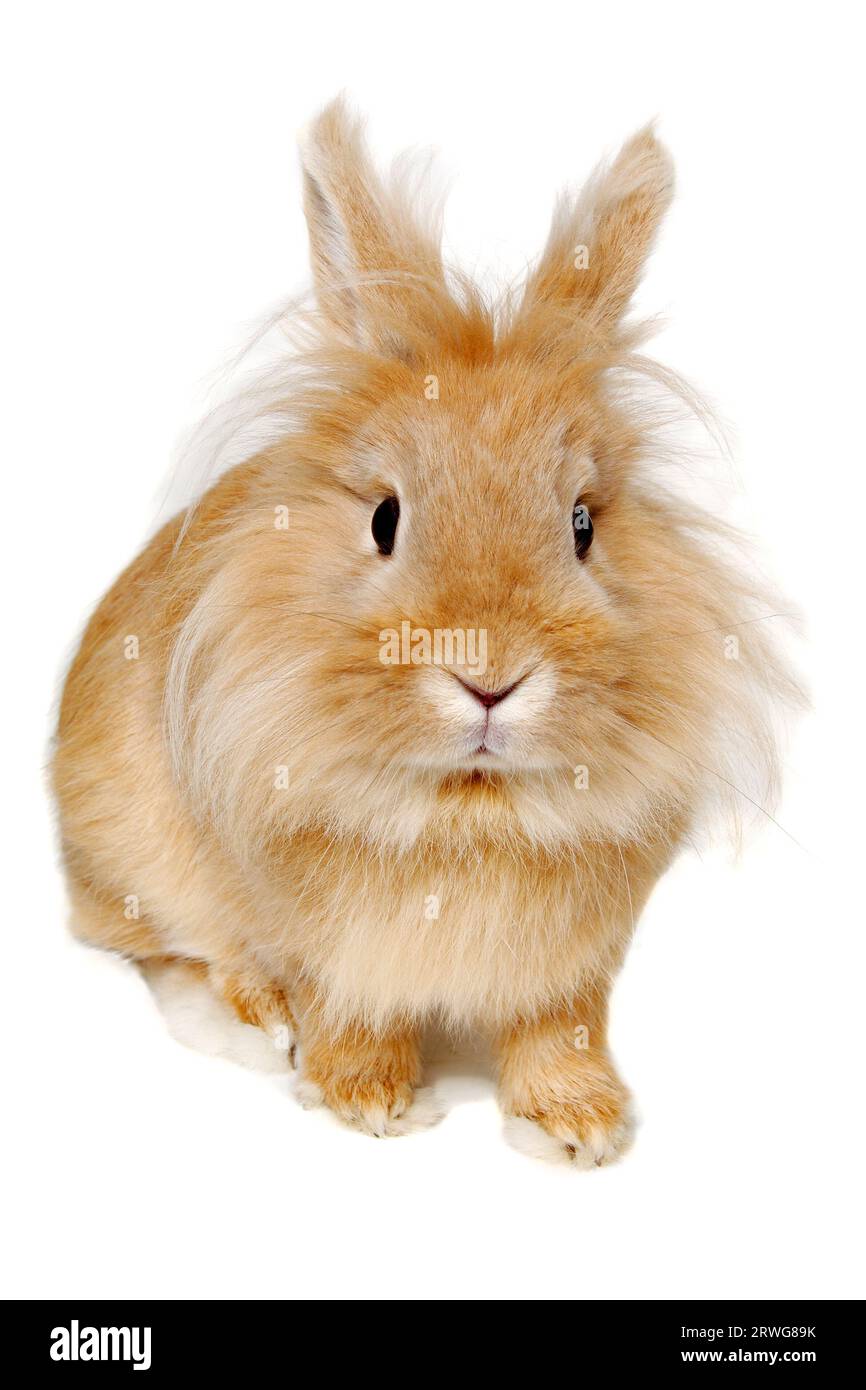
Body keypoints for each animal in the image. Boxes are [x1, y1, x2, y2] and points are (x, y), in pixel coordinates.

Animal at [51, 99, 801, 1165]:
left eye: (583, 525)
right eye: (384, 519)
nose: (489, 679)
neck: (467, 807)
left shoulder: (575, 963)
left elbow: (560, 1026)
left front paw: (582, 1128)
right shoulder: (318, 932)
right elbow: (341, 1003)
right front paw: (370, 1102)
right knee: (165, 952)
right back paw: (255, 1023)